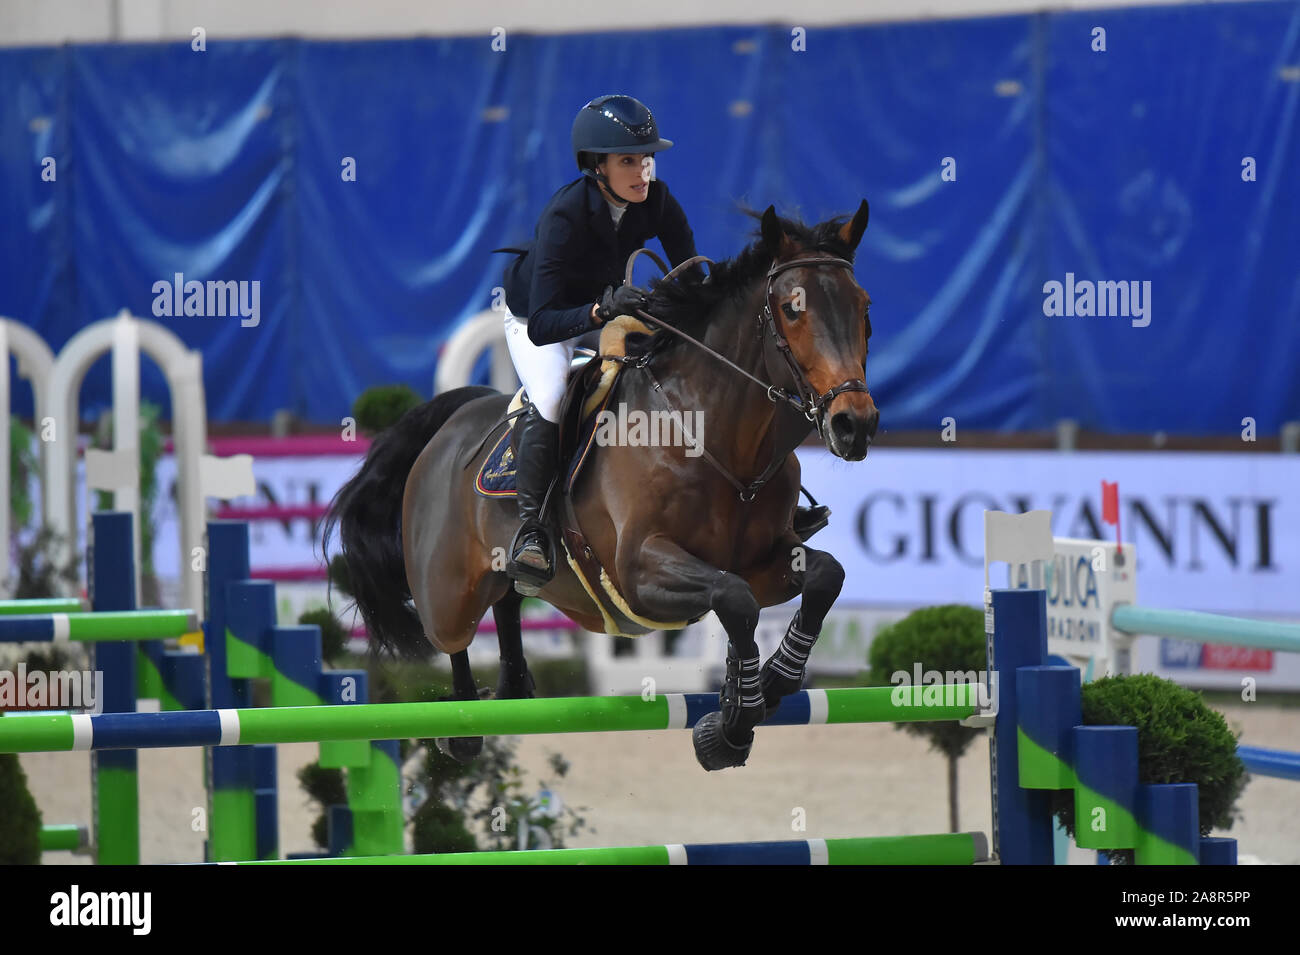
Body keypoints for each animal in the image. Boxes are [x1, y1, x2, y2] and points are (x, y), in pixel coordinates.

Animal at [321, 205, 878, 774]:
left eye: (864, 307)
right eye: (792, 310)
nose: (854, 424)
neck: (715, 438)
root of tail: (452, 421)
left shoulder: (766, 560)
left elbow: (823, 577)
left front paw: (767, 684)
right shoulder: (639, 569)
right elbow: (733, 597)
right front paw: (733, 725)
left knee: (509, 599)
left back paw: (513, 685)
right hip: (448, 592)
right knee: (454, 636)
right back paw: (464, 727)